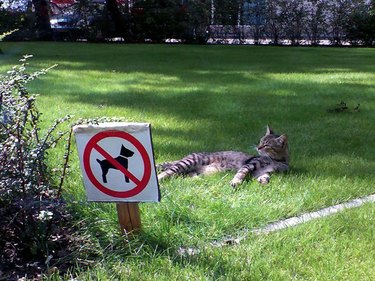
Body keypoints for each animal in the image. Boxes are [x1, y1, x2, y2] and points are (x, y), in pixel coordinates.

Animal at [157, 124, 290, 186]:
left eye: (266, 145)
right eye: (261, 141)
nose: (258, 147)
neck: (277, 161)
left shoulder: (262, 171)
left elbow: (266, 176)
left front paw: (264, 180)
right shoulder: (250, 164)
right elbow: (241, 172)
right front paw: (236, 182)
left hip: (191, 171)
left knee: (183, 175)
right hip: (189, 162)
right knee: (168, 171)